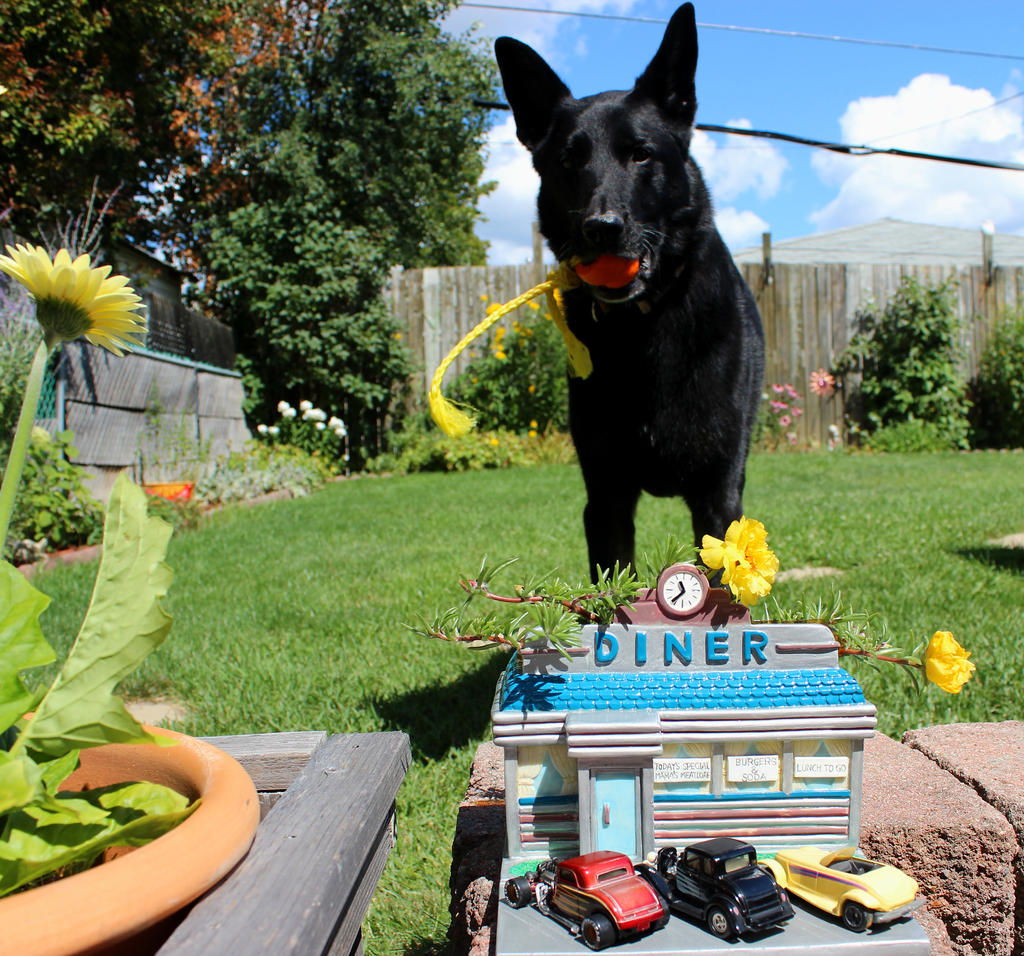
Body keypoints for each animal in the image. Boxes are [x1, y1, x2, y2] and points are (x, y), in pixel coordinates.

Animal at [491, 3, 765, 585]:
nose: (602, 228)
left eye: (640, 154)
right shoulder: (606, 498)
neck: (642, 328)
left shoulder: (718, 498)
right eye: (569, 161)